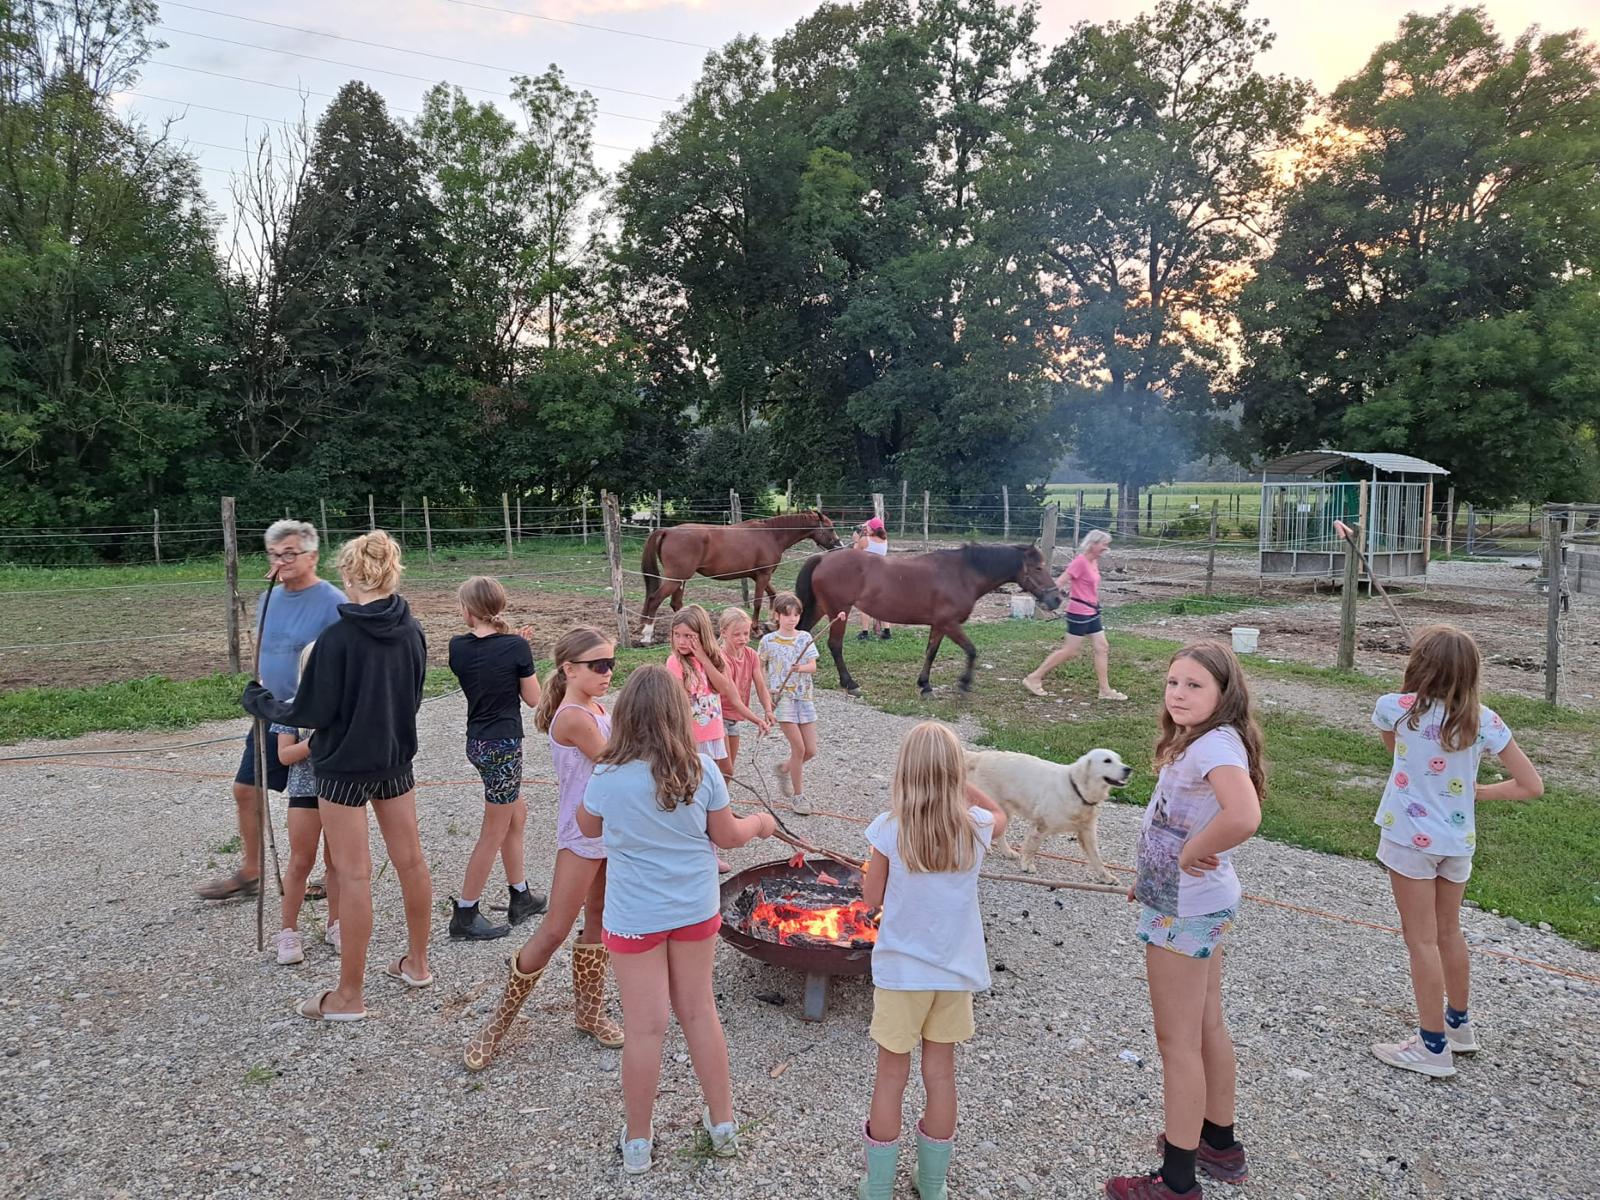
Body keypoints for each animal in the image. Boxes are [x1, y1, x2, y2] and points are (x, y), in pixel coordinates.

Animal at [638, 510, 844, 643]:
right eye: (830, 528)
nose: (839, 546)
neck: (771, 534)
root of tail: (667, 530)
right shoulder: (763, 575)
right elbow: (758, 602)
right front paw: (757, 629)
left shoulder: (759, 576)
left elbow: (773, 595)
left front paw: (771, 622)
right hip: (676, 578)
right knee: (655, 599)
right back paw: (647, 635)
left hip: (681, 580)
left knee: (676, 604)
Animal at [795, 542, 1062, 696]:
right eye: (1038, 567)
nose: (1057, 599)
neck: (963, 574)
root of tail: (823, 558)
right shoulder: (950, 624)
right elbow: (971, 650)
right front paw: (964, 684)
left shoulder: (939, 625)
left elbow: (931, 653)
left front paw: (924, 685)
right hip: (838, 611)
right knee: (834, 645)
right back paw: (849, 683)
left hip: (821, 608)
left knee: (803, 634)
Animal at [964, 748, 1132, 883]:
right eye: (1107, 761)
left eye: (1119, 759)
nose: (1128, 769)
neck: (1077, 789)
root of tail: (980, 756)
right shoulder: (1041, 824)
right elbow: (1032, 847)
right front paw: (1027, 865)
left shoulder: (1087, 831)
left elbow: (1096, 858)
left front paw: (1106, 877)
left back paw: (1007, 852)